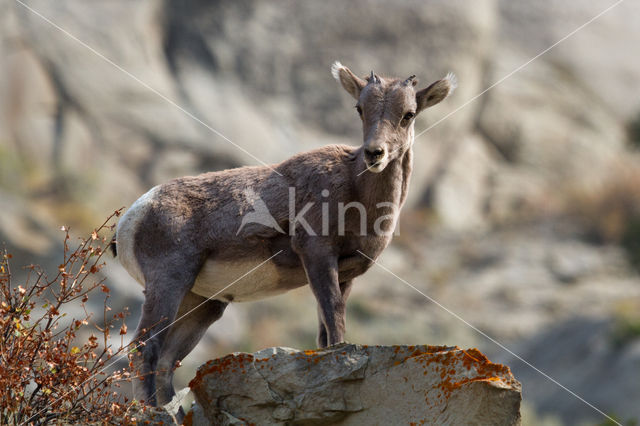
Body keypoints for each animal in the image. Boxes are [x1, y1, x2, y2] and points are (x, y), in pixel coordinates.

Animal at [114, 61, 456, 412]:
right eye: (360, 109)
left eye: (409, 114)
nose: (375, 154)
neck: (357, 193)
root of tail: (133, 217)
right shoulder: (317, 255)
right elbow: (334, 319)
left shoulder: (344, 273)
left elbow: (326, 332)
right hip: (169, 283)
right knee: (145, 348)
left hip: (202, 304)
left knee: (167, 360)